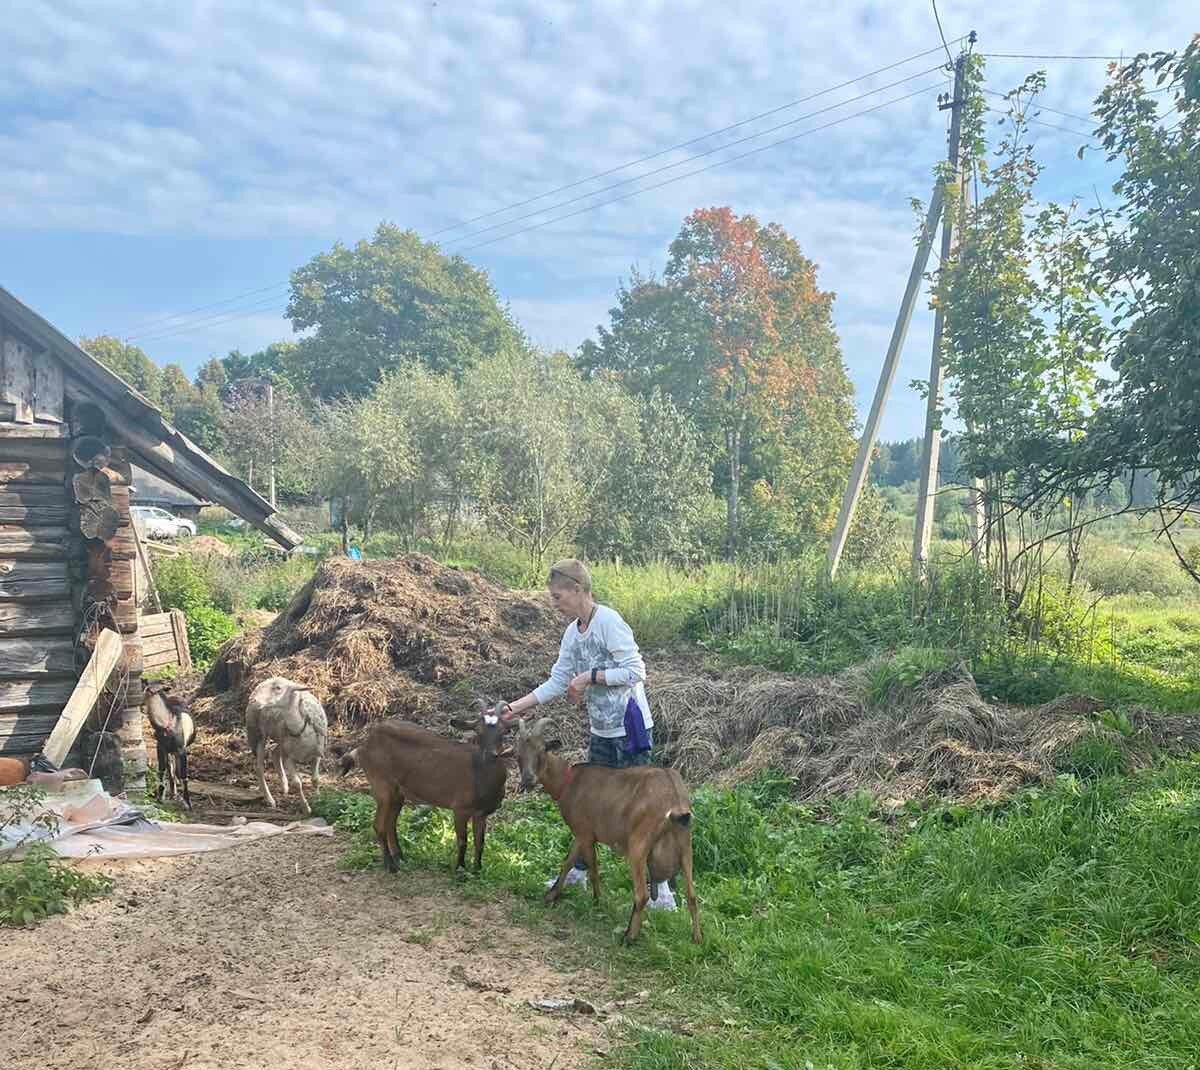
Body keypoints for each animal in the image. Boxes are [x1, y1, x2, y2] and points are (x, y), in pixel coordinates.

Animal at [243, 671, 328, 815]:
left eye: (278, 688)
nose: (253, 700)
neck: (300, 727)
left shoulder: (316, 755)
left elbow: (315, 779)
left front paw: (319, 799)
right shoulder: (289, 758)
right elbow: (297, 784)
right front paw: (306, 808)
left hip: (280, 741)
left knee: (274, 753)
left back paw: (284, 786)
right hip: (257, 734)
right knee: (260, 768)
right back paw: (270, 799)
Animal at [338, 700, 511, 878]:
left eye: (503, 732)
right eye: (478, 732)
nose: (491, 754)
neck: (479, 774)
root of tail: (363, 745)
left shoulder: (481, 814)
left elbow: (480, 842)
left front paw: (477, 870)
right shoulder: (460, 809)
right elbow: (462, 841)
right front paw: (460, 870)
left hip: (398, 793)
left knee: (390, 824)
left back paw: (400, 857)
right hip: (382, 786)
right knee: (379, 825)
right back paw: (390, 865)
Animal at [516, 719, 700, 945]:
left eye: (542, 749)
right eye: (518, 754)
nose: (528, 779)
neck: (567, 782)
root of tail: (674, 799)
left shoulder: (585, 833)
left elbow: (593, 868)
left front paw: (597, 902)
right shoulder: (581, 833)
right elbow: (568, 862)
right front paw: (551, 896)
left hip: (639, 845)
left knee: (642, 894)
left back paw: (629, 937)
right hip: (686, 845)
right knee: (692, 894)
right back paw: (697, 939)